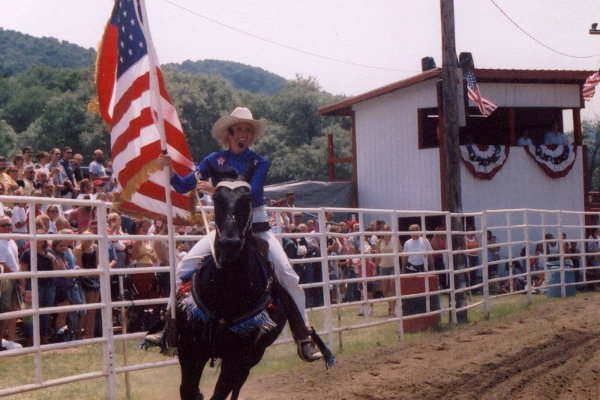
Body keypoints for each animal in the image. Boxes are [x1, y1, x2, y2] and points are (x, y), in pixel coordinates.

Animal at [176, 171, 286, 400]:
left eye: (248, 199)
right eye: (217, 198)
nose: (230, 244)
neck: (225, 292)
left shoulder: (237, 358)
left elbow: (219, 393)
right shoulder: (189, 350)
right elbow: (189, 390)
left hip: (253, 357)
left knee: (237, 386)